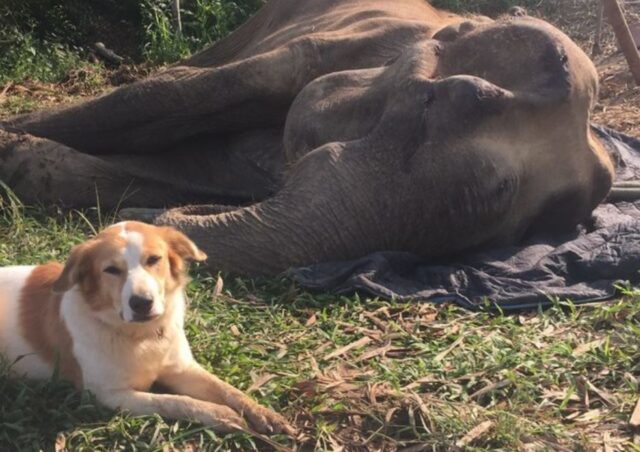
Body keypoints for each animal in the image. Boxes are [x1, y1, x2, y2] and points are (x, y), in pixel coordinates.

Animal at [0, 222, 292, 434]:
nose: (142, 303)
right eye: (111, 270)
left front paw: (264, 414)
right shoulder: (108, 395)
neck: (142, 337)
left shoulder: (182, 368)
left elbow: (228, 390)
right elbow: (172, 401)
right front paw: (222, 416)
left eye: (154, 259)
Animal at [1, 0, 620, 276]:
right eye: (435, 103)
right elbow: (167, 97)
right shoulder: (324, 51)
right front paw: (10, 140)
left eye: (526, 227)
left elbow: (183, 167)